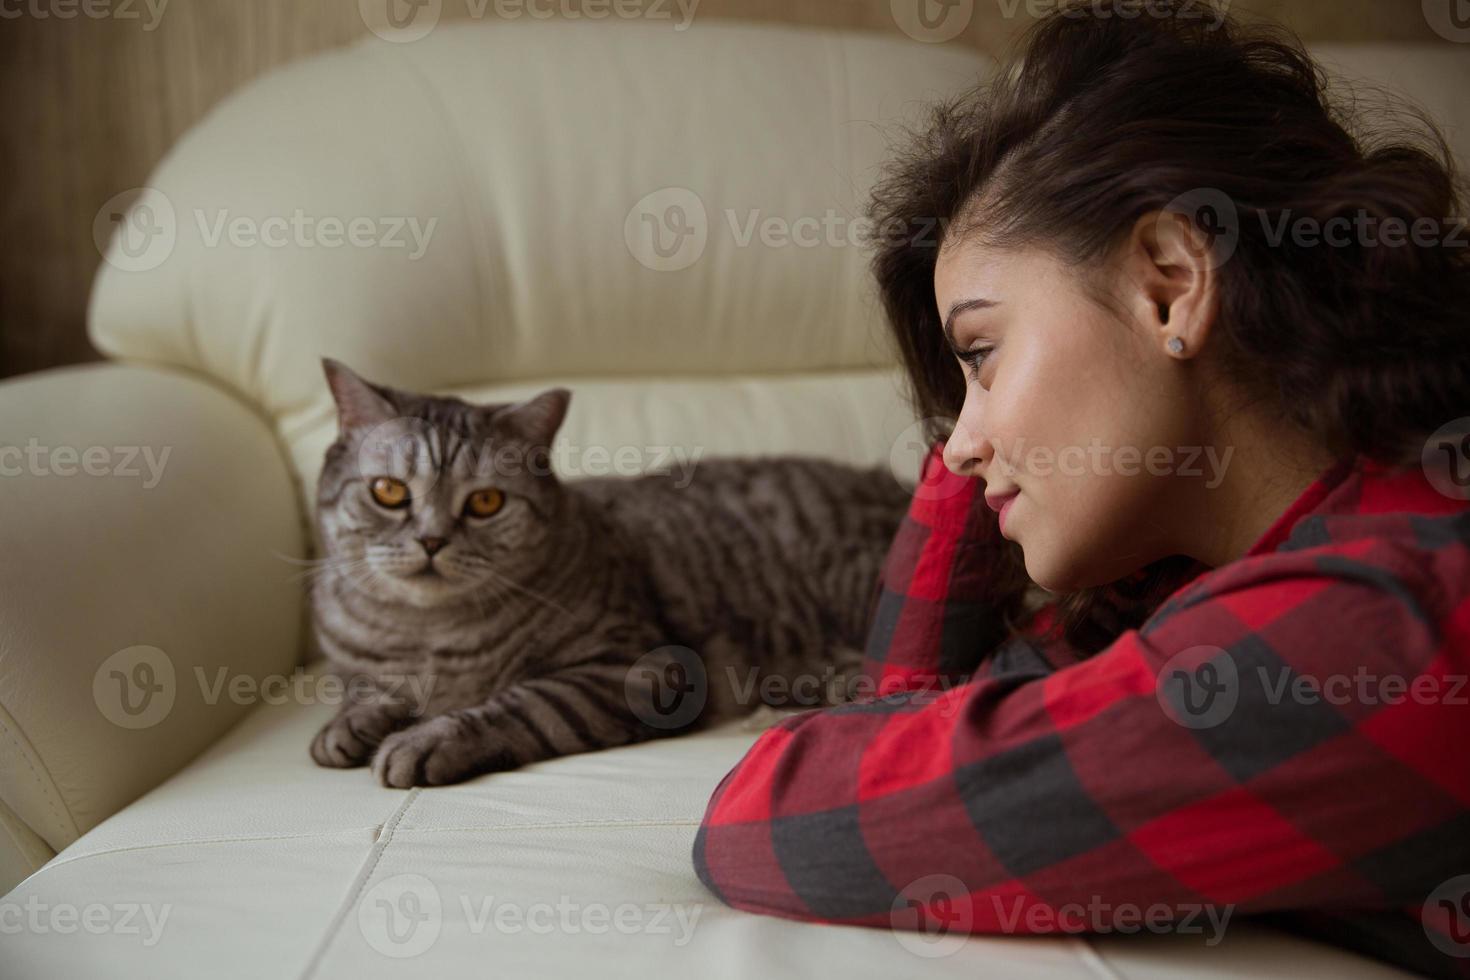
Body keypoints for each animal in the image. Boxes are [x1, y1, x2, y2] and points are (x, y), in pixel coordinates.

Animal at [307, 359, 905, 787]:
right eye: (389, 491)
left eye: (485, 502)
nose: (431, 540)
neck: (427, 636)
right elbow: (366, 690)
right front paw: (349, 725)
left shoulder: (632, 669)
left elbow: (520, 705)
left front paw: (424, 739)